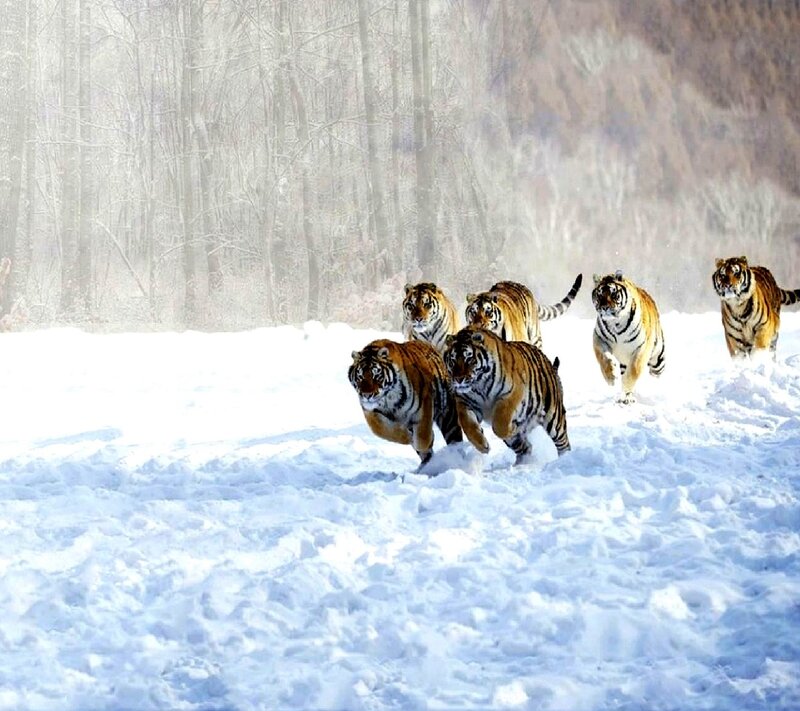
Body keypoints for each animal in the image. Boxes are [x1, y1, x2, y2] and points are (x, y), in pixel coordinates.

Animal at [349, 338, 463, 467]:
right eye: (360, 376)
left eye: (376, 375)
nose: (367, 395)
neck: (388, 398)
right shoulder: (370, 412)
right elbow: (381, 430)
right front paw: (408, 438)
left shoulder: (423, 404)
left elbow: (423, 436)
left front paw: (426, 441)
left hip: (448, 416)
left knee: (454, 437)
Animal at [442, 327, 570, 462]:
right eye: (452, 360)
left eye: (469, 359)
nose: (458, 379)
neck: (479, 385)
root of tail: (547, 362)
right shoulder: (465, 402)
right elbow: (467, 424)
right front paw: (482, 446)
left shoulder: (511, 394)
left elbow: (500, 423)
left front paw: (512, 428)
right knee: (525, 448)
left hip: (554, 418)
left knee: (563, 444)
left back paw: (564, 458)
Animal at [592, 271, 665, 404]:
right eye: (599, 295)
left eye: (613, 294)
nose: (604, 307)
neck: (615, 323)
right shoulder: (599, 339)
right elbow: (603, 359)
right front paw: (611, 377)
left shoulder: (642, 347)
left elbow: (634, 370)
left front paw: (626, 385)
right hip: (624, 362)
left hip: (658, 360)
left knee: (655, 373)